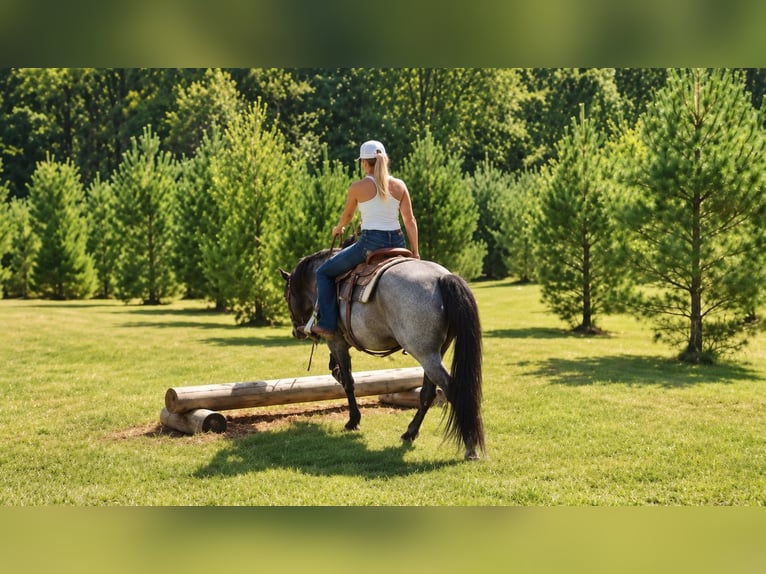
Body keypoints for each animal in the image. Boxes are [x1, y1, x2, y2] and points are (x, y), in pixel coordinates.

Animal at [280, 249, 485, 460]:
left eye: (287, 295)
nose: (296, 331)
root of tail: (441, 278)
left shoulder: (335, 340)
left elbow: (348, 382)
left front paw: (353, 420)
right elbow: (338, 370)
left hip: (425, 355)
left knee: (452, 391)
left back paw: (470, 447)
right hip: (435, 354)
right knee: (427, 393)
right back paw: (410, 432)